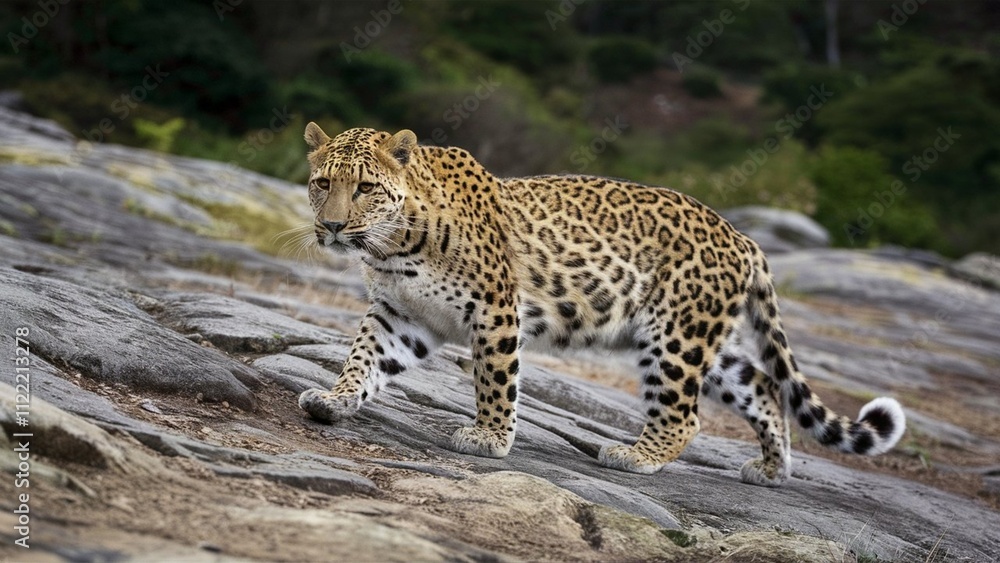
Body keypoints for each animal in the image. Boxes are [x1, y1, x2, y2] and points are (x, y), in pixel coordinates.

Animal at [296, 122, 906, 486]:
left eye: (367, 188)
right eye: (322, 182)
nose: (332, 227)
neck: (394, 246)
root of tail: (744, 238)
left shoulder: (496, 310)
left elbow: (495, 380)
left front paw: (489, 440)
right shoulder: (399, 314)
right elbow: (362, 359)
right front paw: (334, 400)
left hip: (676, 337)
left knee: (685, 416)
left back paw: (635, 456)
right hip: (707, 344)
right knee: (759, 384)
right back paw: (772, 469)